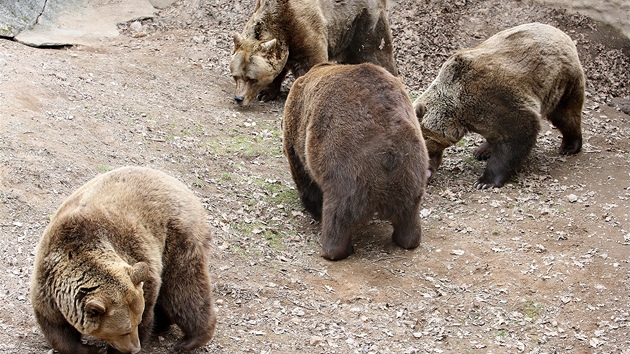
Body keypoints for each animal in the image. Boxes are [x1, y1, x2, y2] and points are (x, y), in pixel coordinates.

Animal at [30, 167, 218, 354]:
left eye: (135, 323)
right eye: (124, 330)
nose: (135, 348)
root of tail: (179, 184)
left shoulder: (138, 260)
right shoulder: (48, 285)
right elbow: (56, 327)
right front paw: (90, 348)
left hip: (178, 238)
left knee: (183, 289)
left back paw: (188, 340)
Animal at [231, 0, 400, 106]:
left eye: (251, 78)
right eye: (236, 76)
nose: (239, 98)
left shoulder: (304, 27)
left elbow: (312, 63)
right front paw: (265, 94)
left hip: (362, 23)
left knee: (376, 54)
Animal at [286, 62, 430, 260]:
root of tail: (389, 147)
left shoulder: (297, 128)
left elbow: (303, 174)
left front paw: (312, 207)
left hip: (347, 167)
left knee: (338, 213)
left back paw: (334, 249)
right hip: (411, 166)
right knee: (409, 211)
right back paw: (408, 239)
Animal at [414, 21, 588, 188]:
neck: (461, 112)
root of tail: (561, 33)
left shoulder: (496, 99)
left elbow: (517, 135)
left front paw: (485, 181)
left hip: (561, 81)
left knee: (565, 115)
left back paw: (569, 146)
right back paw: (482, 151)